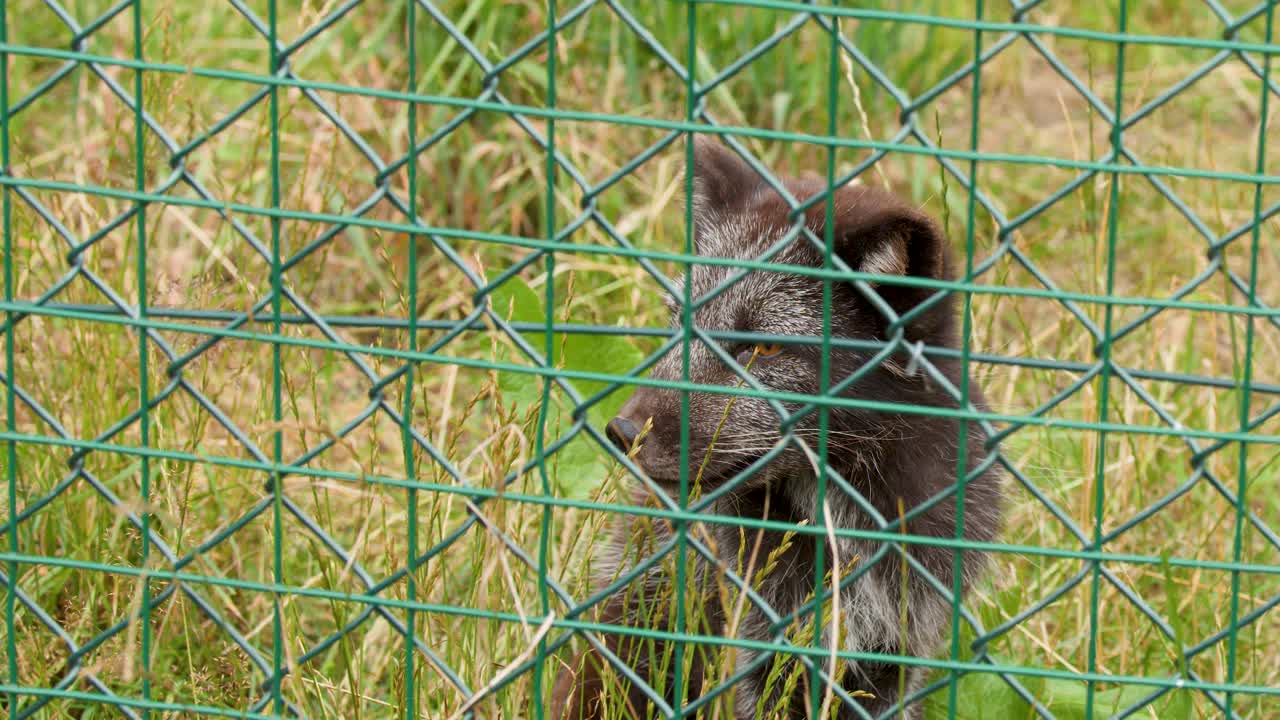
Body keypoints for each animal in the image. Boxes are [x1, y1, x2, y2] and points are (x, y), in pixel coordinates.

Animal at [548, 137, 1005, 720]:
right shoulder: (758, 647)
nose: (623, 431)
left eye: (763, 347)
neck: (845, 518)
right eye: (680, 321)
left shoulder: (895, 656)